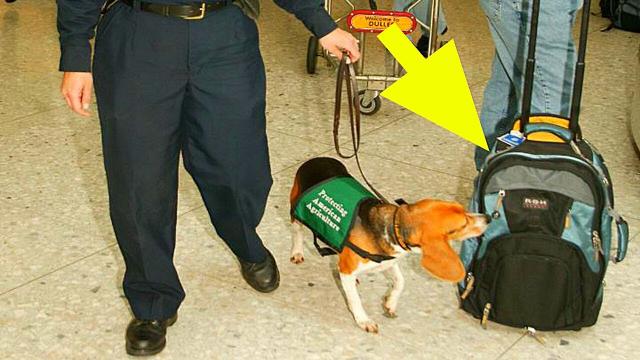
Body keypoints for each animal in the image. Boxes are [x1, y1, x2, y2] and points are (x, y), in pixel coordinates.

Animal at [290, 158, 490, 332]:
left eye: (463, 209)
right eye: (462, 225)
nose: (488, 217)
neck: (394, 225)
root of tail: (316, 159)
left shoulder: (389, 260)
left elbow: (401, 282)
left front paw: (390, 303)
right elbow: (355, 299)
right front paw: (363, 320)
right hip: (295, 212)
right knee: (297, 232)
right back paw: (297, 252)